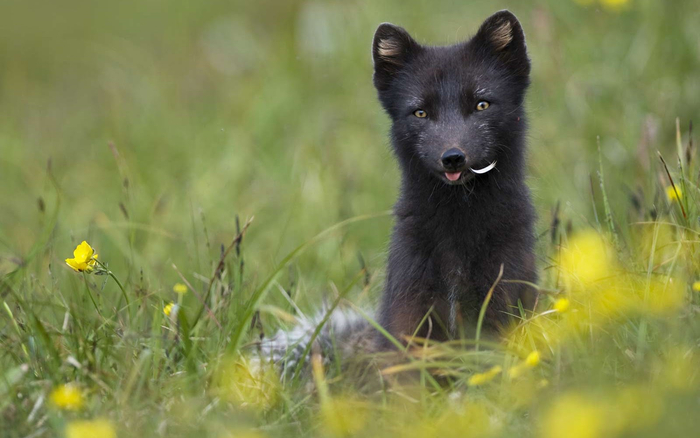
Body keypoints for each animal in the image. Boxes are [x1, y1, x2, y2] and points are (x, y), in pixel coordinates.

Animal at [261, 10, 538, 373]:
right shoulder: (409, 303)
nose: (453, 156)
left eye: (482, 104)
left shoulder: (504, 289)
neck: (458, 235)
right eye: (420, 111)